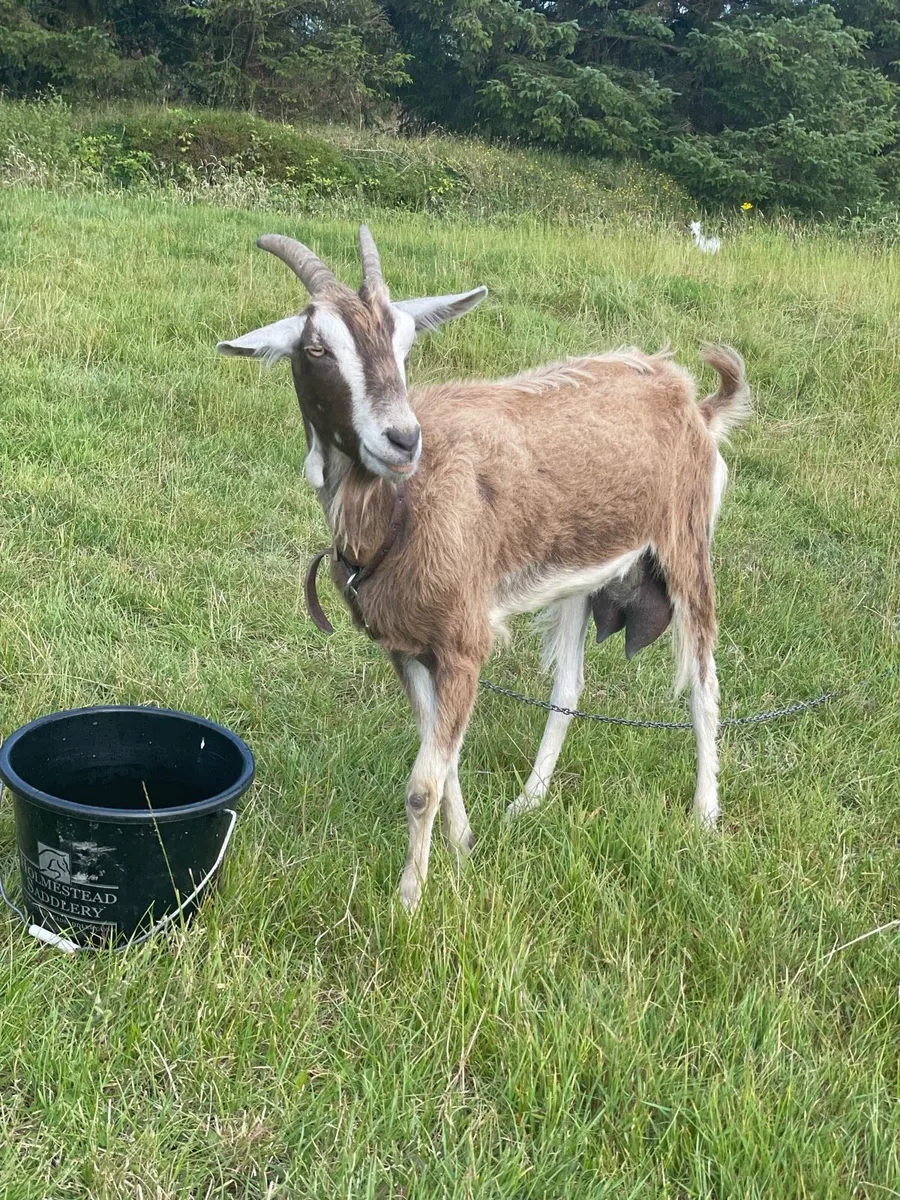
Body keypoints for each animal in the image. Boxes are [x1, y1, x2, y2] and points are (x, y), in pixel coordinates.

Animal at [218, 227, 751, 911]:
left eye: (405, 342)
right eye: (317, 348)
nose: (402, 439)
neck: (402, 511)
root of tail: (692, 399)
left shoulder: (464, 641)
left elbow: (424, 780)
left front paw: (409, 900)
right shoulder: (406, 646)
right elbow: (439, 754)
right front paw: (463, 845)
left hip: (687, 548)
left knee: (704, 681)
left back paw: (705, 811)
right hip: (579, 576)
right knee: (569, 687)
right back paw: (529, 801)